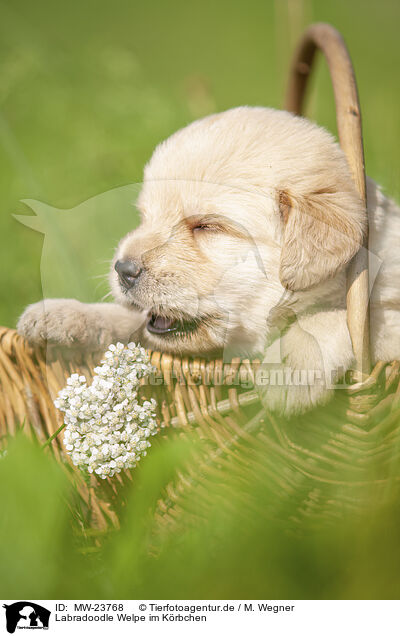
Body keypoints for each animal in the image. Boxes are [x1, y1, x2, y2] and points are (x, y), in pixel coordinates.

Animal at [18, 108, 400, 418]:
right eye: (145, 217)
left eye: (206, 226)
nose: (123, 270)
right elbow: (128, 321)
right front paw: (66, 316)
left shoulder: (385, 317)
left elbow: (336, 317)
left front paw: (289, 368)